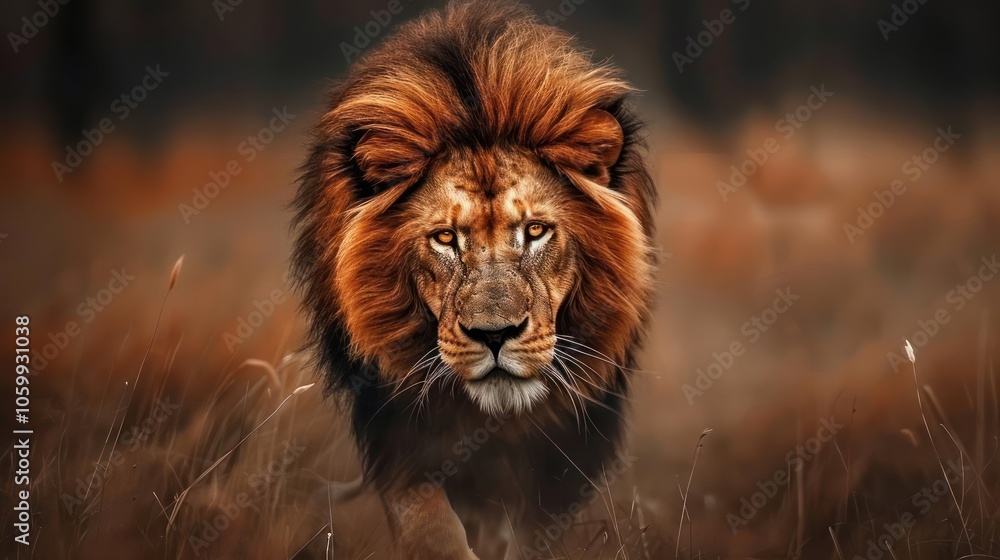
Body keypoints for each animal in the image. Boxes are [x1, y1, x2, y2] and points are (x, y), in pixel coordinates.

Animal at [292, 2, 655, 558]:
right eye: (445, 238)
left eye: (535, 230)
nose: (495, 335)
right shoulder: (396, 432)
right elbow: (430, 525)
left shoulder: (566, 454)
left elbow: (535, 533)